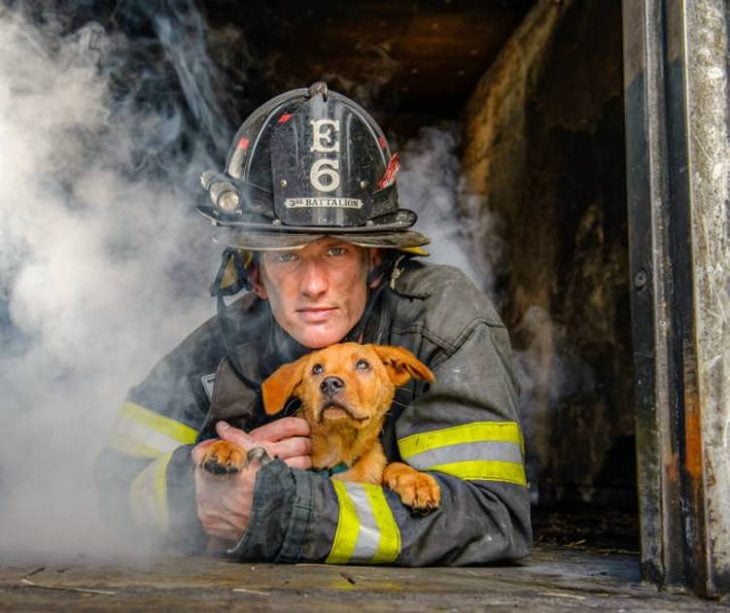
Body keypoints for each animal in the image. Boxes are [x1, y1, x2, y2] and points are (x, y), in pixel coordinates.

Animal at [198, 342, 438, 510]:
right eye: (317, 369)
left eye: (363, 365)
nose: (330, 383)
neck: (337, 451)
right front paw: (227, 447)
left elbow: (392, 465)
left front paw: (416, 481)